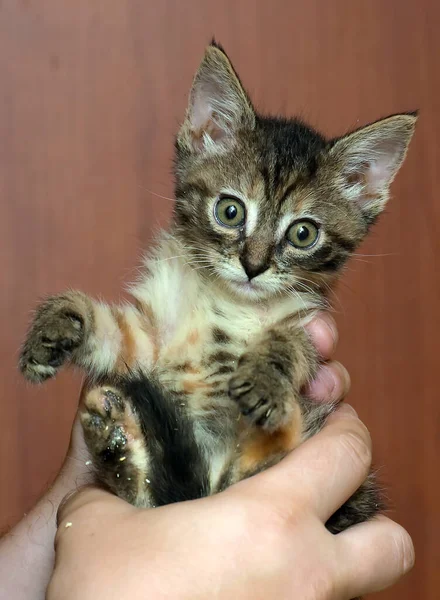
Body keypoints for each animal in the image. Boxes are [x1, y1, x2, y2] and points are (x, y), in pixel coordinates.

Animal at [18, 41, 416, 528]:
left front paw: (265, 378)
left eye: (303, 234)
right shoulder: (150, 340)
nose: (253, 265)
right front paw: (58, 323)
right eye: (230, 211)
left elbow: (290, 344)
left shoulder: (305, 325)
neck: (225, 302)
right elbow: (111, 328)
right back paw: (118, 442)